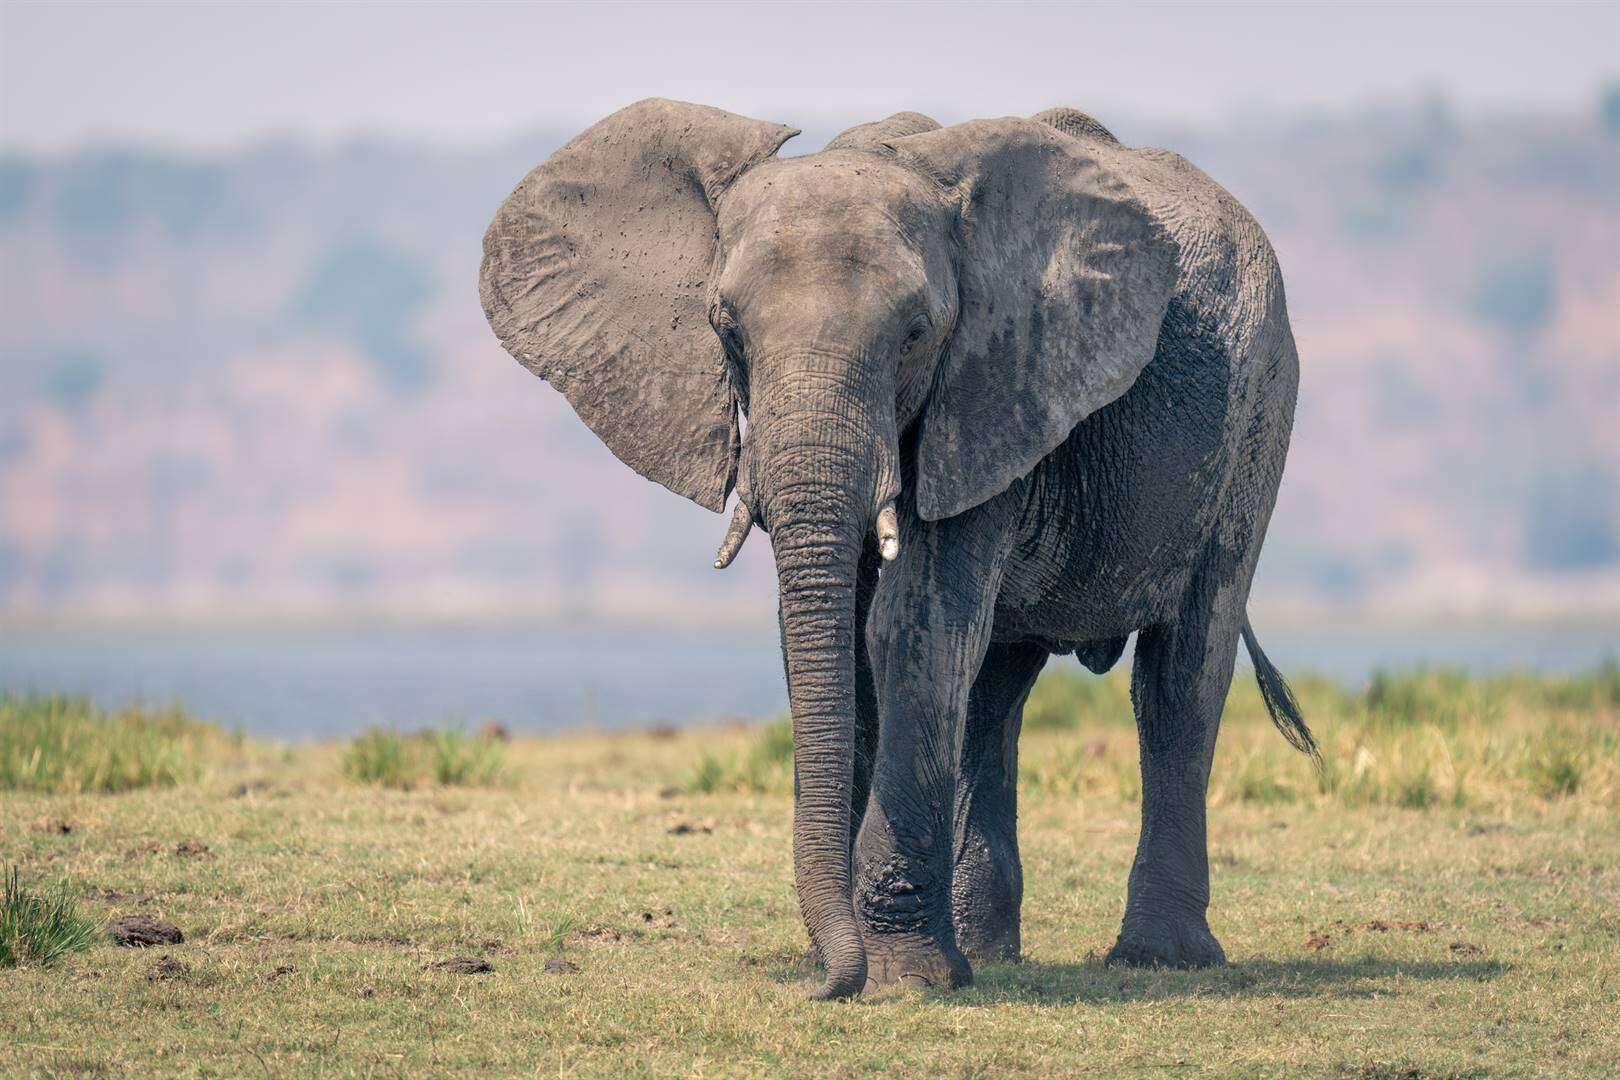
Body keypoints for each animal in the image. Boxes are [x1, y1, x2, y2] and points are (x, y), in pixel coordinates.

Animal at [479, 99, 1315, 997]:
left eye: (917, 335)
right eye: (726, 332)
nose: (822, 983)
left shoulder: (991, 383)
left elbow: (908, 627)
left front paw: (899, 979)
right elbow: (837, 637)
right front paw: (872, 965)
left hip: (1257, 411)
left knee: (1181, 669)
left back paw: (1156, 958)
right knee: (993, 688)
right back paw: (986, 953)